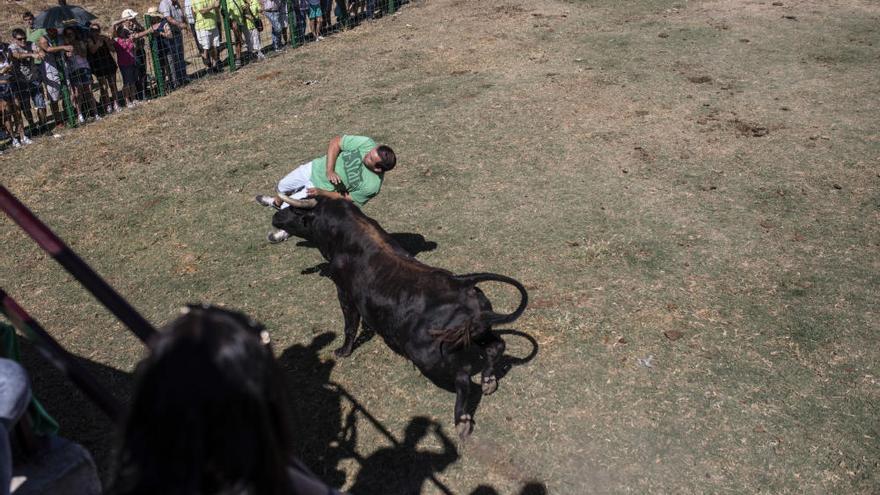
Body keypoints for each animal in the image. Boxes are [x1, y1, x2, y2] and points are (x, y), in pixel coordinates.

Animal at [272, 199, 524, 438]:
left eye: (294, 209)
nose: (275, 216)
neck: (346, 235)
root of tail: (463, 283)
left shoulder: (344, 293)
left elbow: (349, 325)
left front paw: (343, 351)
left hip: (426, 354)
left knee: (463, 378)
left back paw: (462, 420)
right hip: (477, 332)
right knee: (496, 346)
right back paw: (489, 381)